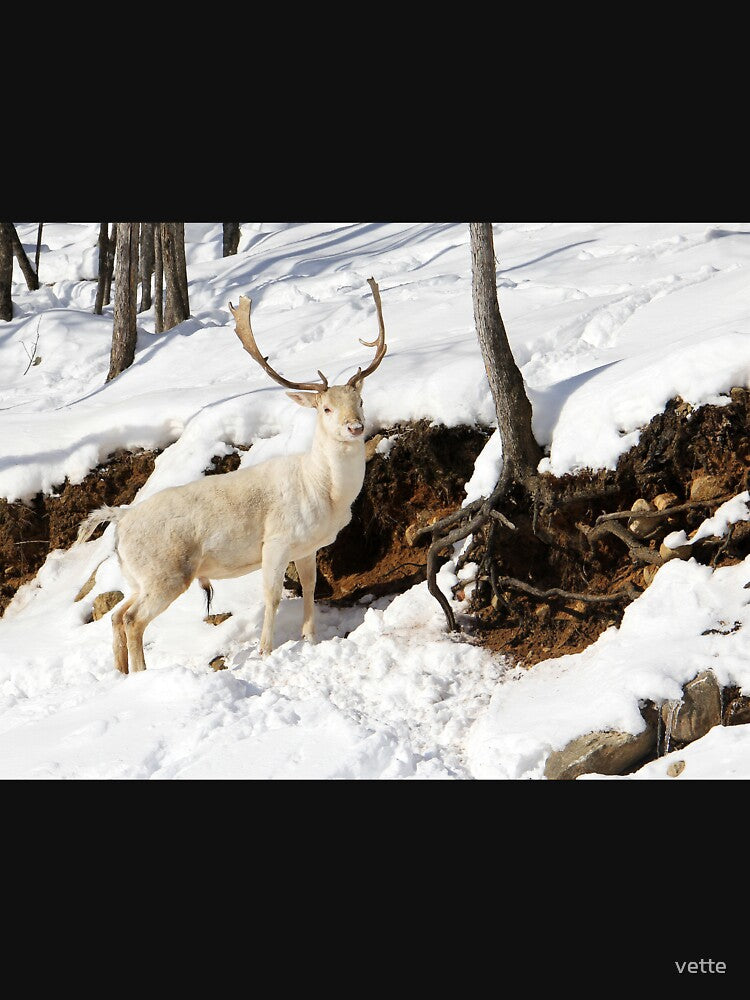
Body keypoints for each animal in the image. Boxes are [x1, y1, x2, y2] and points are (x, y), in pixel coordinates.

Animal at [75, 277, 387, 673]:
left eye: (359, 401)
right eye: (326, 408)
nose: (355, 427)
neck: (327, 494)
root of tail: (121, 519)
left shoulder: (307, 547)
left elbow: (310, 589)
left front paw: (309, 639)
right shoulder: (277, 539)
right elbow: (271, 596)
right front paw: (265, 651)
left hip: (137, 578)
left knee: (116, 615)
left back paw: (121, 675)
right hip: (166, 573)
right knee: (132, 620)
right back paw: (142, 674)